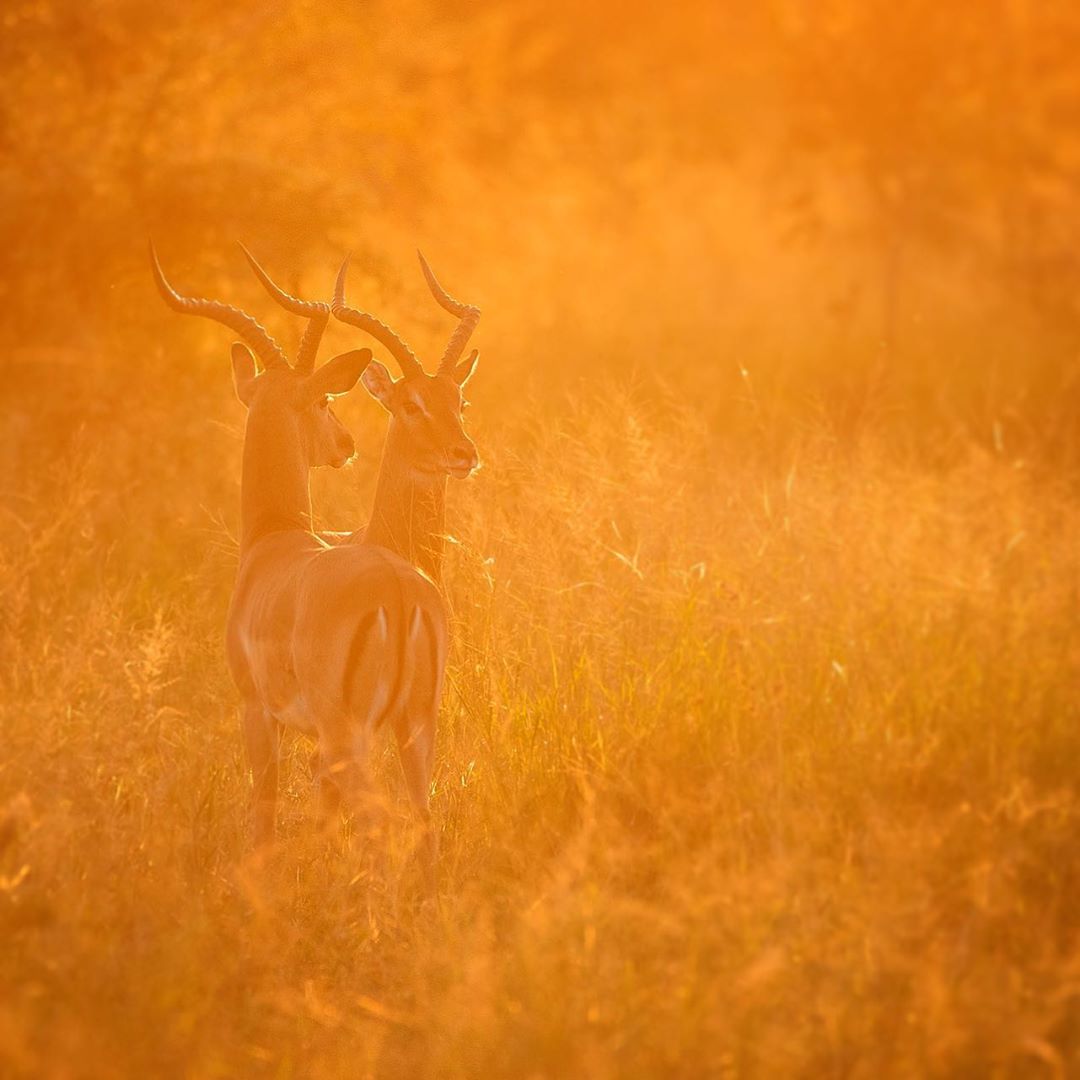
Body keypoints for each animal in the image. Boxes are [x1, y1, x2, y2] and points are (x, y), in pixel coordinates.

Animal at [152, 247, 447, 885]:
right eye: (325, 401)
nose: (345, 445)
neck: (276, 540)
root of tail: (398, 589)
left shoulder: (258, 713)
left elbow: (262, 813)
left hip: (350, 737)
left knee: (379, 825)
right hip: (415, 728)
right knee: (424, 822)